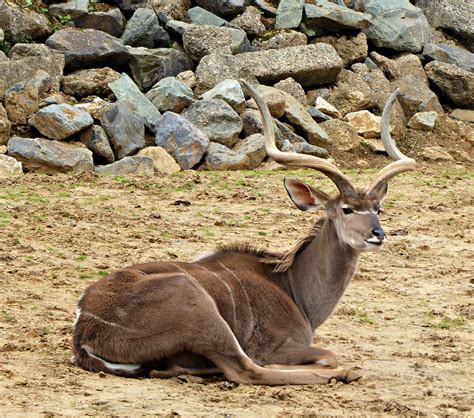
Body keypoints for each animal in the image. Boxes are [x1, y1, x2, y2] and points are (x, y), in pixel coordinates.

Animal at [72, 82, 416, 386]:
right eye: (346, 209)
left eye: (378, 208)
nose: (377, 234)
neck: (290, 285)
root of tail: (85, 331)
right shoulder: (275, 344)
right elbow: (324, 355)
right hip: (200, 311)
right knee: (246, 369)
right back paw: (345, 373)